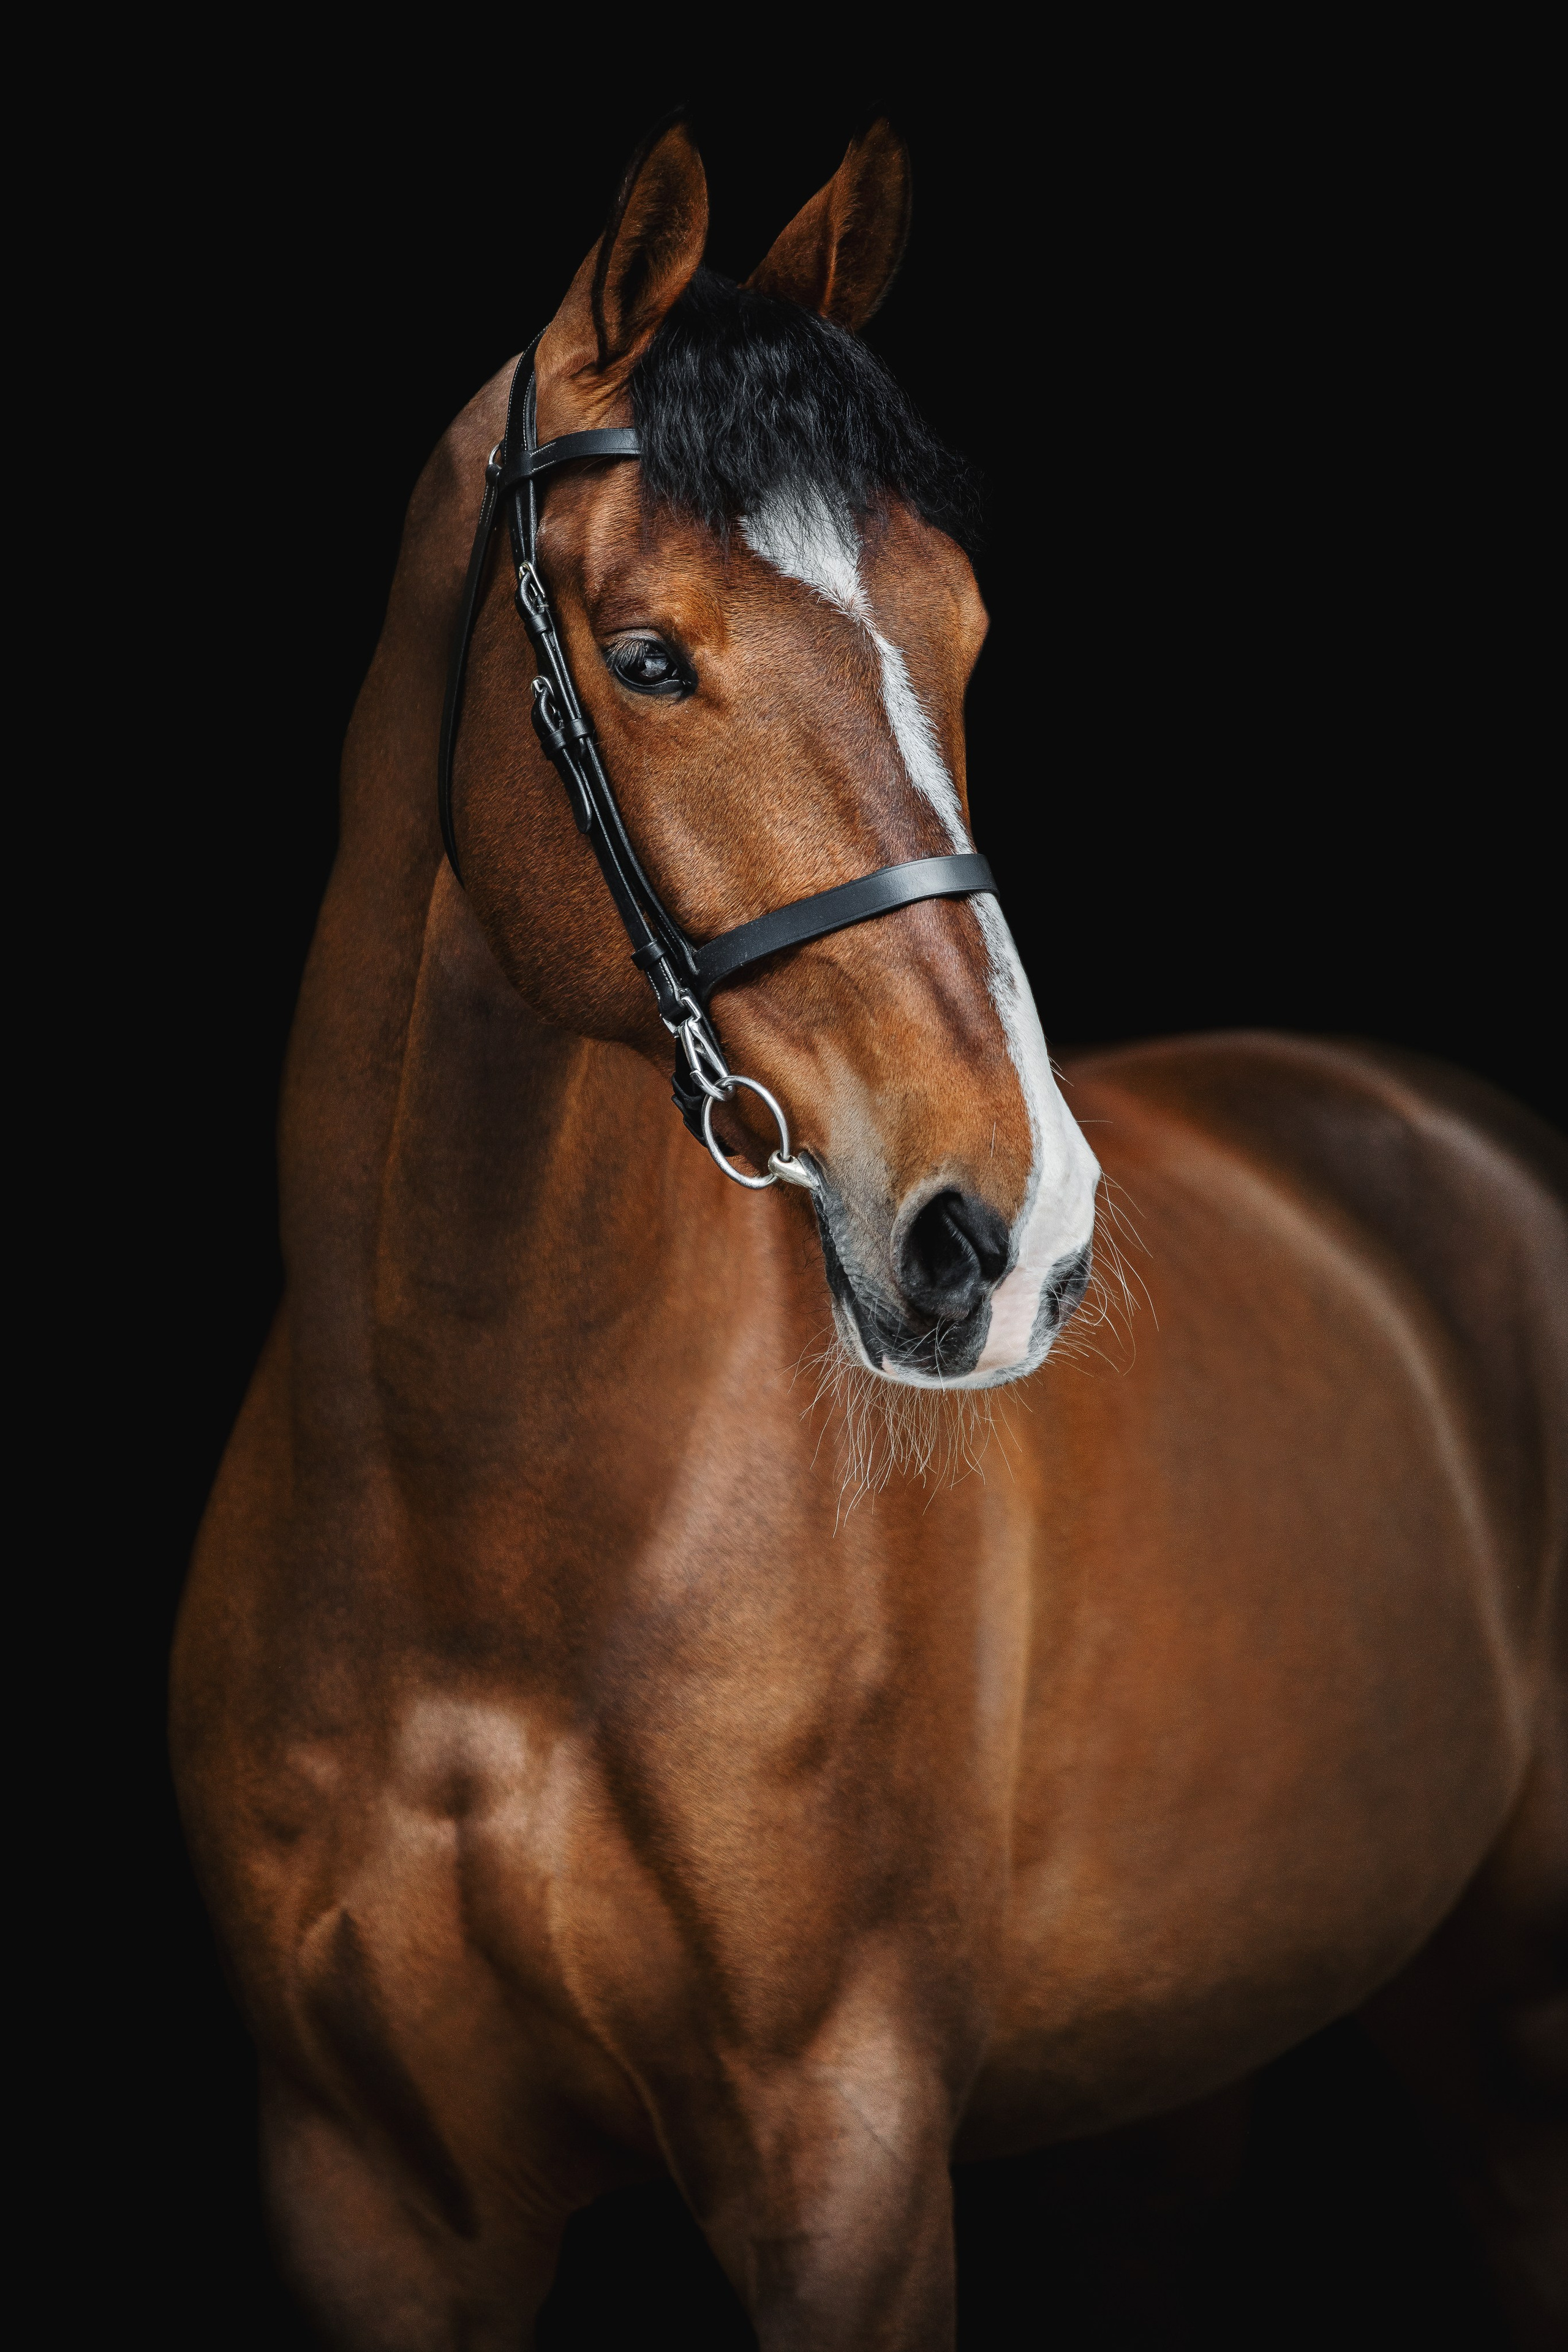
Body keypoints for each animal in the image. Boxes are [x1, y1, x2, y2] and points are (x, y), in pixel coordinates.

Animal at [171, 118, 1567, 2349]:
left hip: (1513, 2034)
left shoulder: (844, 2162)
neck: (483, 1535)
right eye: (648, 655)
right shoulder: (371, 2199)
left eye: (966, 632)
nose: (1010, 1238)